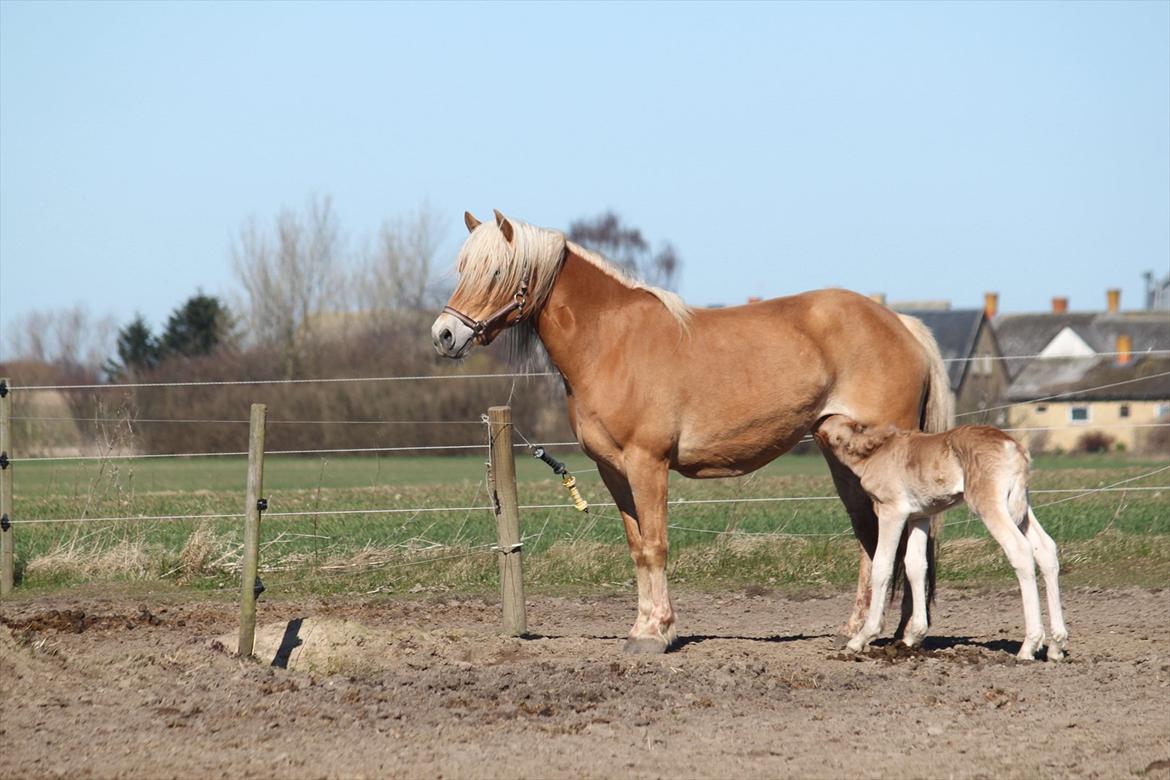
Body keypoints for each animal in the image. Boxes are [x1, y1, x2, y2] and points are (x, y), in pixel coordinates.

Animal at [430, 211, 950, 654]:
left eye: (497, 271)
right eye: (464, 268)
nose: (444, 335)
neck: (610, 342)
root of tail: (901, 324)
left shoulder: (648, 463)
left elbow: (657, 545)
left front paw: (656, 634)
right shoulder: (614, 471)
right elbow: (638, 548)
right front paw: (643, 628)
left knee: (899, 534)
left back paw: (891, 632)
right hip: (841, 455)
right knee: (874, 535)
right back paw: (879, 630)